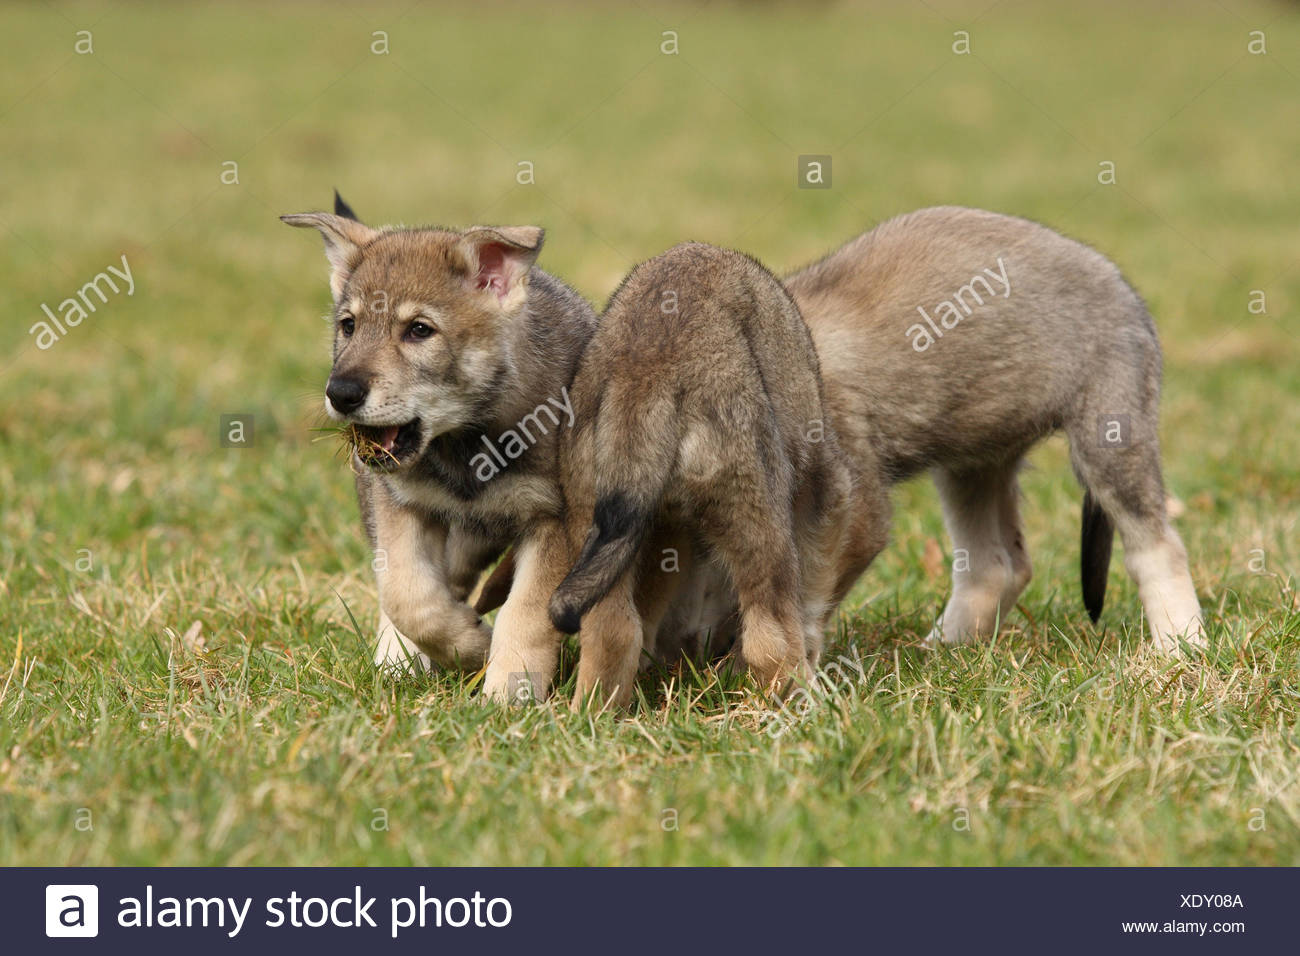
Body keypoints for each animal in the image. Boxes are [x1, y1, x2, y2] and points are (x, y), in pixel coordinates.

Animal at [538, 242, 883, 708]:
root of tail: (643, 376)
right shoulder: (826, 491)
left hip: (586, 510)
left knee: (613, 633)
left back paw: (590, 714)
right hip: (757, 519)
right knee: (770, 639)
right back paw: (811, 706)